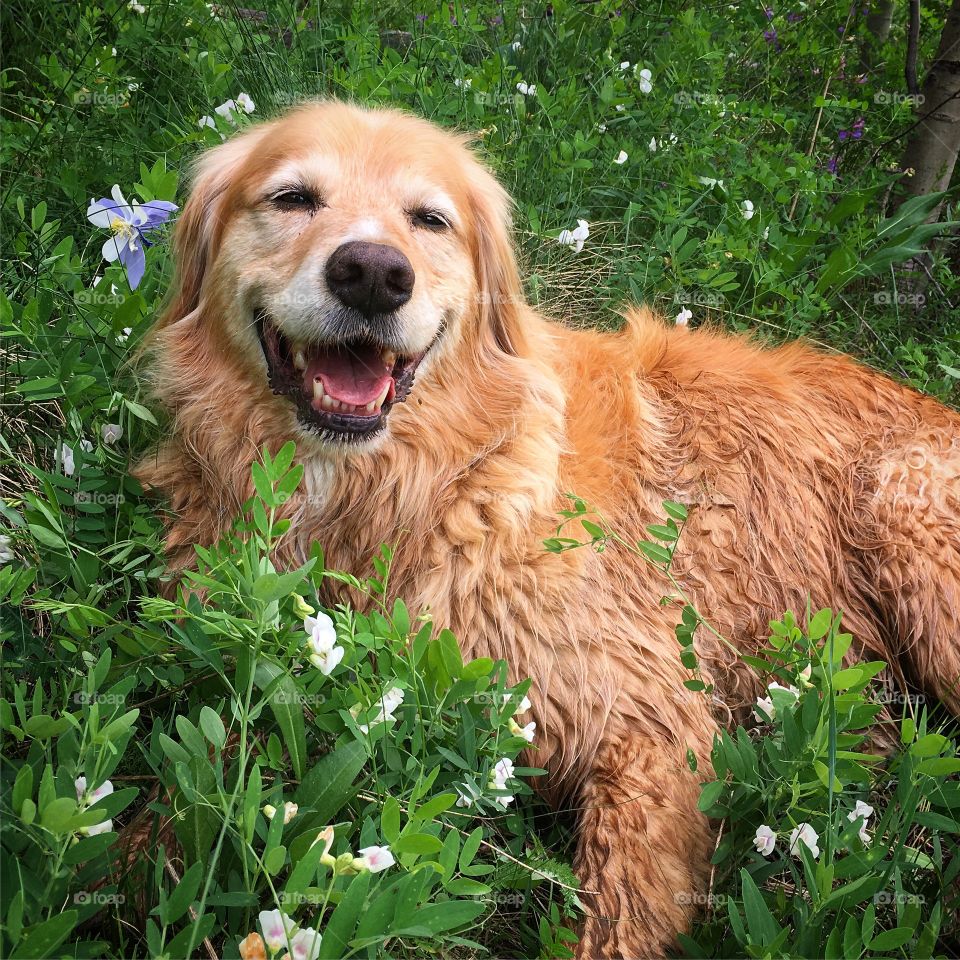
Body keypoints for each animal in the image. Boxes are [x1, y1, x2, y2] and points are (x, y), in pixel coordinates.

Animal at [139, 101, 960, 956]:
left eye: (429, 219)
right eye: (293, 198)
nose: (372, 274)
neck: (413, 488)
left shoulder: (647, 715)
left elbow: (615, 916)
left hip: (907, 520)